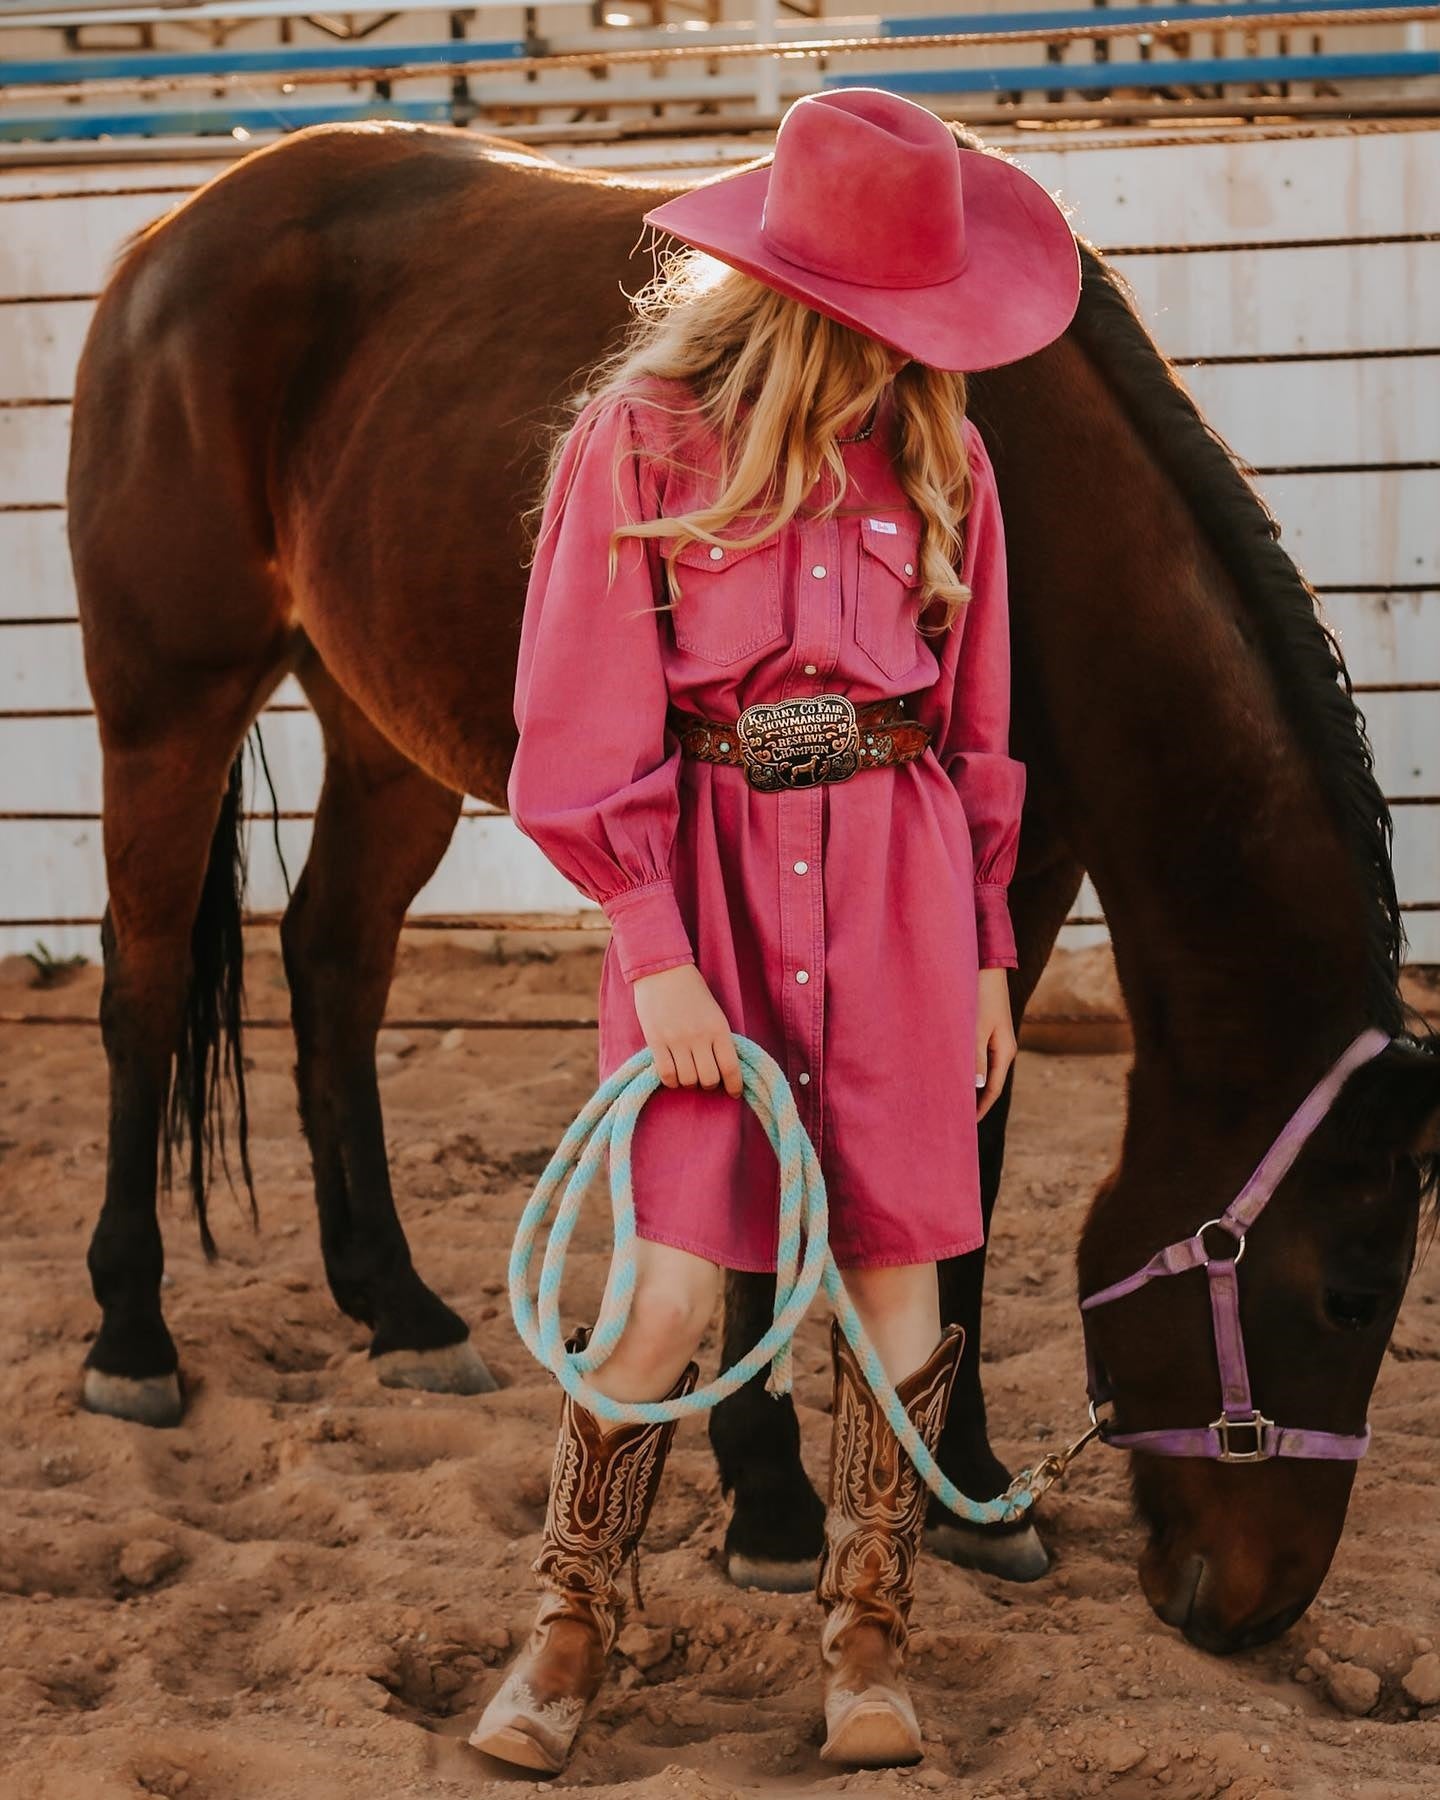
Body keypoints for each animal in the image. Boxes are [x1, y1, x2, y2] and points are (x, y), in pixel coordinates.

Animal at [67, 116, 1440, 1656]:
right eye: (1349, 1298)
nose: (1255, 1611)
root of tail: (169, 236)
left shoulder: (1006, 875)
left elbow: (968, 1159)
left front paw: (964, 1487)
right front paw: (771, 1503)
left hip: (378, 732)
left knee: (333, 966)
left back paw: (399, 1307)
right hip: (168, 703)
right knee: (143, 985)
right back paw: (132, 1337)